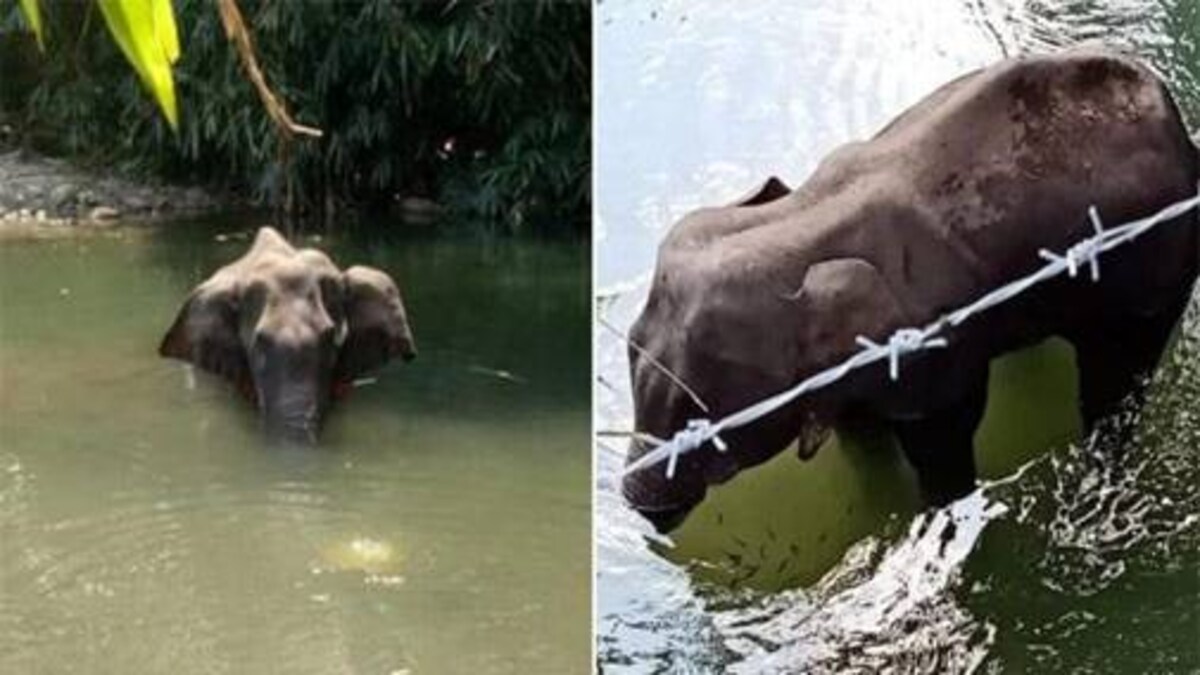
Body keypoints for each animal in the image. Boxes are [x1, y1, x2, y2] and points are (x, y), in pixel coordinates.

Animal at [622, 47, 1200, 533]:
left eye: (704, 422)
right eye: (631, 347)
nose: (640, 506)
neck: (803, 220)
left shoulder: (933, 350)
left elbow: (943, 439)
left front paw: (936, 515)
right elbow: (861, 431)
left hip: (1153, 274)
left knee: (1116, 378)